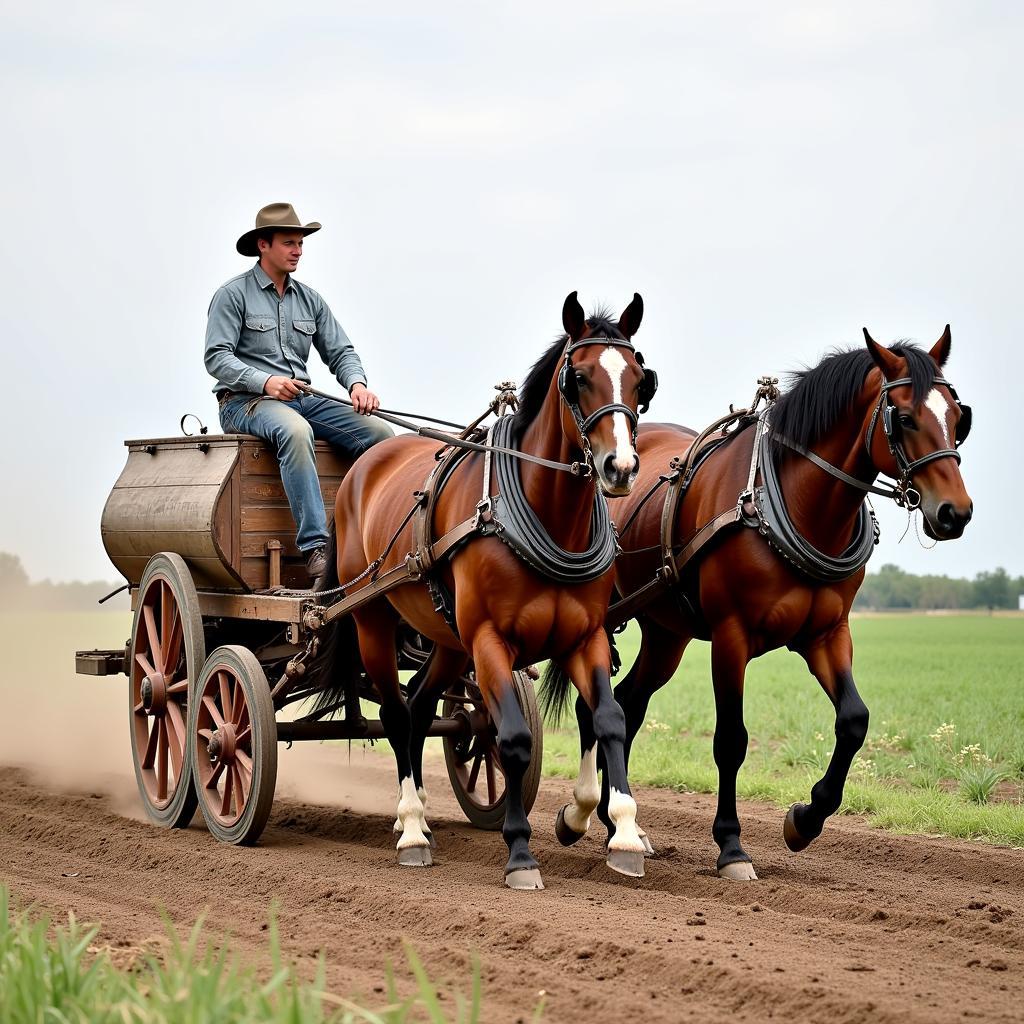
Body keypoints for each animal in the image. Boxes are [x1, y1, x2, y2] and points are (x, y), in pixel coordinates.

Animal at [317, 290, 655, 888]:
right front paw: (519, 851)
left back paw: (417, 815)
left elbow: (609, 721)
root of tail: (361, 469)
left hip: (449, 642)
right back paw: (410, 827)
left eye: (641, 379)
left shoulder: (585, 637)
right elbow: (513, 737)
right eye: (579, 378)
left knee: (421, 707)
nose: (620, 467)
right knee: (395, 713)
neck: (547, 519)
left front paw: (615, 830)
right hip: (375, 623)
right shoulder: (490, 640)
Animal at [544, 325, 966, 880]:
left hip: (666, 633)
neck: (793, 504)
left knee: (627, 705)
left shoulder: (826, 634)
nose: (955, 511)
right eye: (906, 416)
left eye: (958, 417)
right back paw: (587, 818)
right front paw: (732, 846)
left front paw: (804, 820)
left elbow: (854, 720)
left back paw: (620, 829)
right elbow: (731, 740)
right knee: (596, 707)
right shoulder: (731, 635)